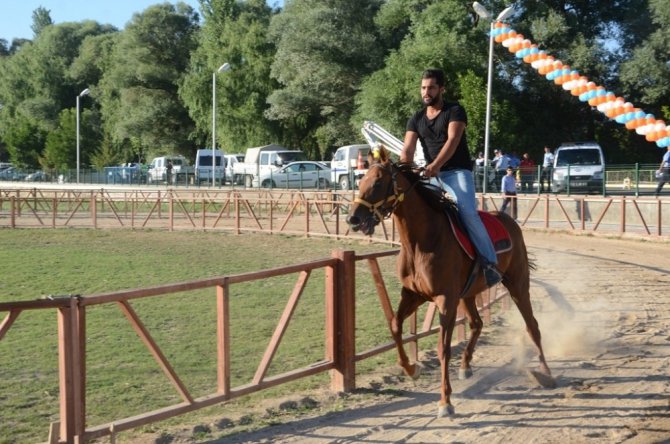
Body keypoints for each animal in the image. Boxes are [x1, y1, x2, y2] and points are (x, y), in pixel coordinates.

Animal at [350, 146, 552, 416]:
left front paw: (445, 401)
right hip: (468, 294)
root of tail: (510, 222)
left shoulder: (445, 299)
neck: (423, 241)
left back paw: (546, 373)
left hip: (518, 284)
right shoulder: (413, 294)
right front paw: (411, 368)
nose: (353, 218)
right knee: (477, 323)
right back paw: (466, 365)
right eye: (361, 180)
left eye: (379, 181)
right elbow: (395, 326)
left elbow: (443, 348)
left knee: (532, 326)